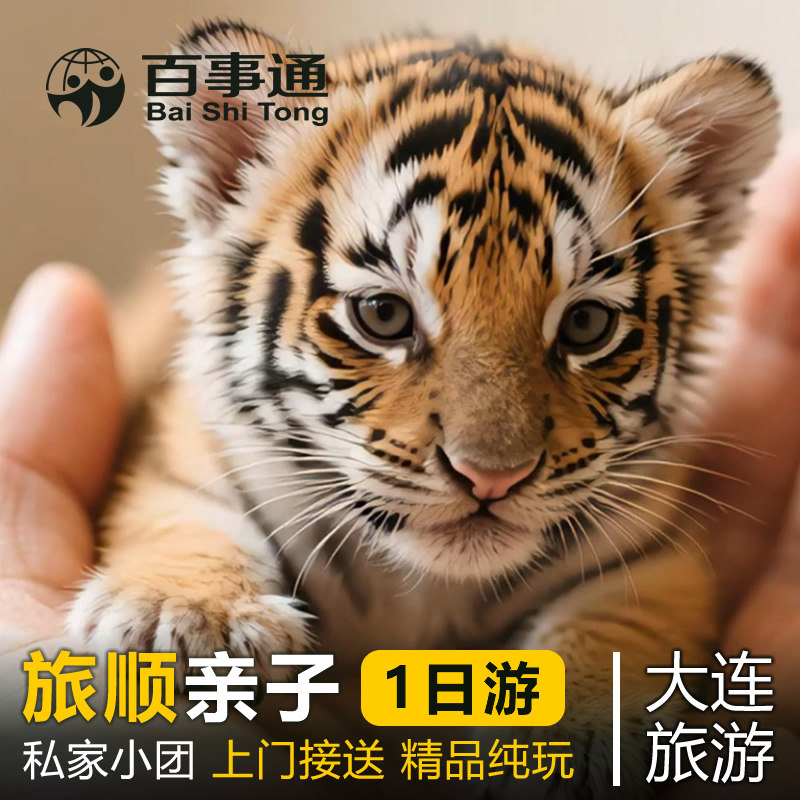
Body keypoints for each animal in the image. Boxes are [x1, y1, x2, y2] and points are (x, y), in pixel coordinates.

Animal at [66, 18, 779, 798]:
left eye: (586, 325)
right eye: (383, 315)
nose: (492, 477)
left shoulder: (654, 552)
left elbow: (619, 631)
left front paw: (581, 746)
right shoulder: (185, 444)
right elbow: (181, 514)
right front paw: (185, 621)